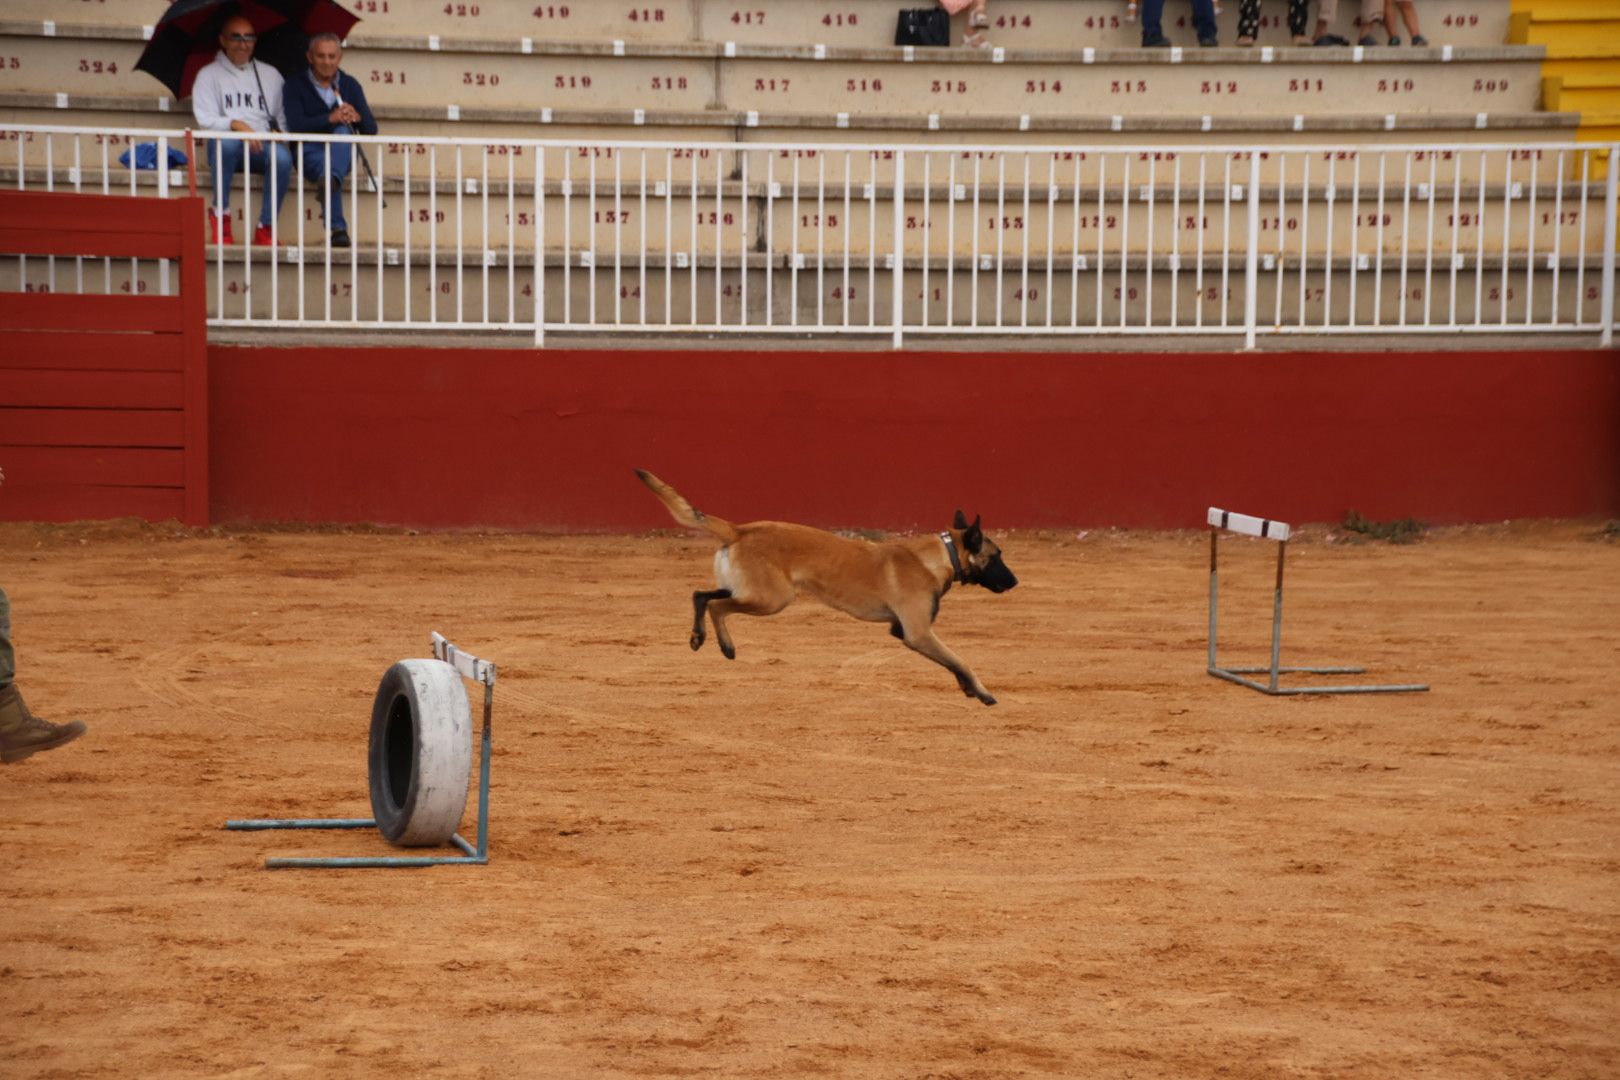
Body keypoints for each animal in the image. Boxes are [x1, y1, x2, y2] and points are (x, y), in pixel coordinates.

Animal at [638, 469, 1017, 705]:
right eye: (997, 556)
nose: (1015, 582)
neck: (940, 555)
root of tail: (740, 529)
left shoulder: (906, 632)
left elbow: (952, 663)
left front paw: (968, 689)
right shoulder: (918, 634)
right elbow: (961, 660)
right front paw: (982, 692)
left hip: (752, 593)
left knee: (701, 595)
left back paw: (703, 638)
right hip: (772, 599)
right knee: (715, 604)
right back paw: (722, 644)